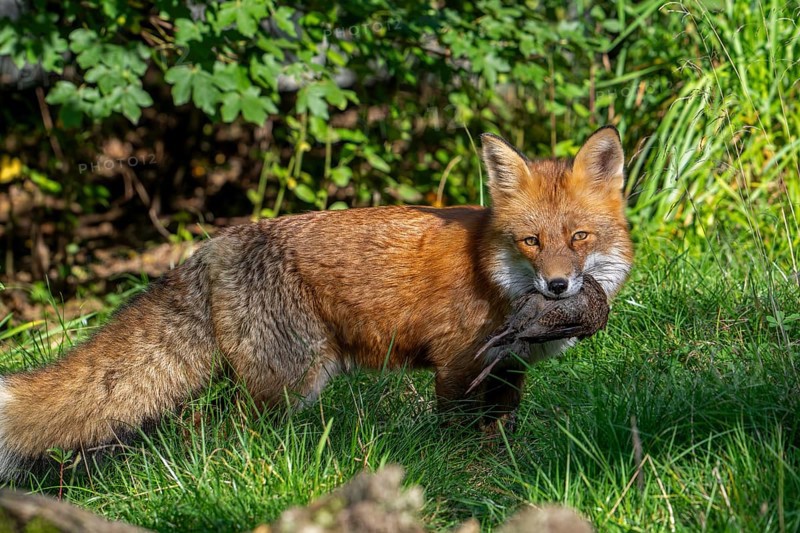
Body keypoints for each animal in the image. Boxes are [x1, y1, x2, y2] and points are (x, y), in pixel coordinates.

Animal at [0, 126, 632, 479]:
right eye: (531, 241)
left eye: (579, 238)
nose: (558, 288)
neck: (494, 272)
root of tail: (214, 246)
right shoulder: (458, 364)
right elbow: (455, 433)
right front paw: (460, 472)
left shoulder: (508, 370)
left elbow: (499, 431)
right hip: (290, 382)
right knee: (211, 433)